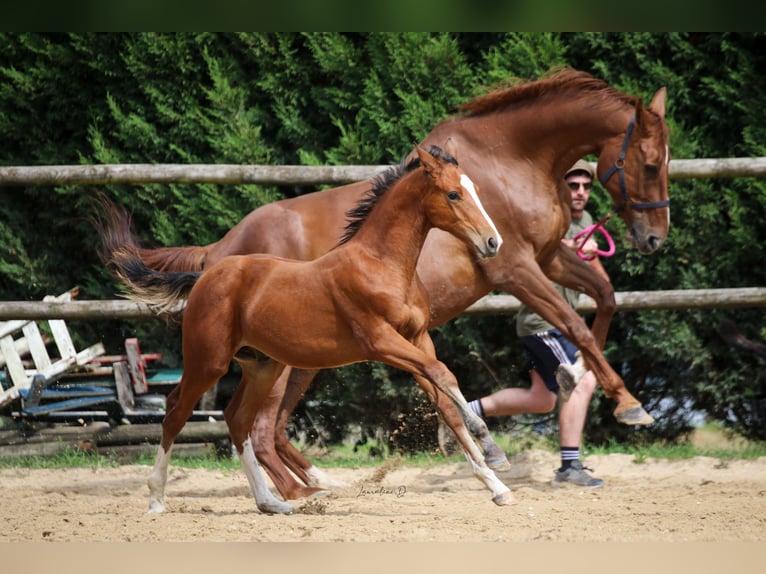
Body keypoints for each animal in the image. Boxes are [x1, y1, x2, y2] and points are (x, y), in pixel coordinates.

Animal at [108, 143, 516, 512]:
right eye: (453, 193)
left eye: (476, 190)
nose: (493, 242)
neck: (382, 264)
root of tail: (205, 274)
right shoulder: (381, 341)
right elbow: (443, 374)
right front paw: (490, 444)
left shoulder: (418, 339)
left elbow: (445, 399)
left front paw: (496, 484)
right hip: (209, 360)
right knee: (177, 410)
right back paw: (157, 499)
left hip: (263, 366)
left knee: (238, 419)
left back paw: (273, 502)